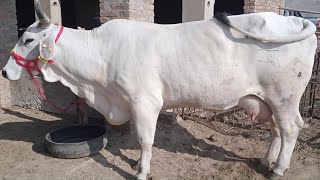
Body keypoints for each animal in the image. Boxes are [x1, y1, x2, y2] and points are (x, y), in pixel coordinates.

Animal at [1, 1, 318, 179]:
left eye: (28, 39)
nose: (5, 71)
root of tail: (294, 18)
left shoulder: (145, 102)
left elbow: (145, 140)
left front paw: (142, 171)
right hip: (270, 100)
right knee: (277, 130)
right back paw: (267, 161)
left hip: (285, 97)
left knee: (291, 128)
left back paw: (278, 169)